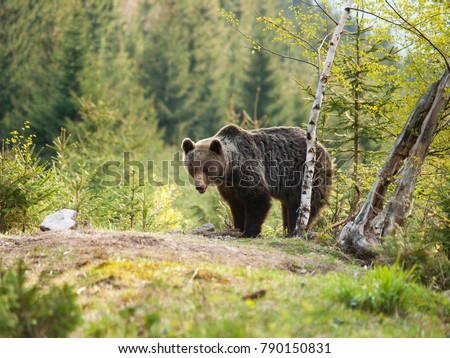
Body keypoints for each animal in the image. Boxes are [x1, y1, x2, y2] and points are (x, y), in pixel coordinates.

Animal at [181, 124, 332, 238]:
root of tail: (323, 149)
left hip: (306, 174)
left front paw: (248, 232)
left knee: (302, 204)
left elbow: (257, 198)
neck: (230, 170)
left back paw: (293, 231)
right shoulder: (228, 186)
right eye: (192, 167)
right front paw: (238, 227)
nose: (199, 186)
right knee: (288, 205)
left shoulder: (247, 170)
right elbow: (236, 205)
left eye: (208, 167)